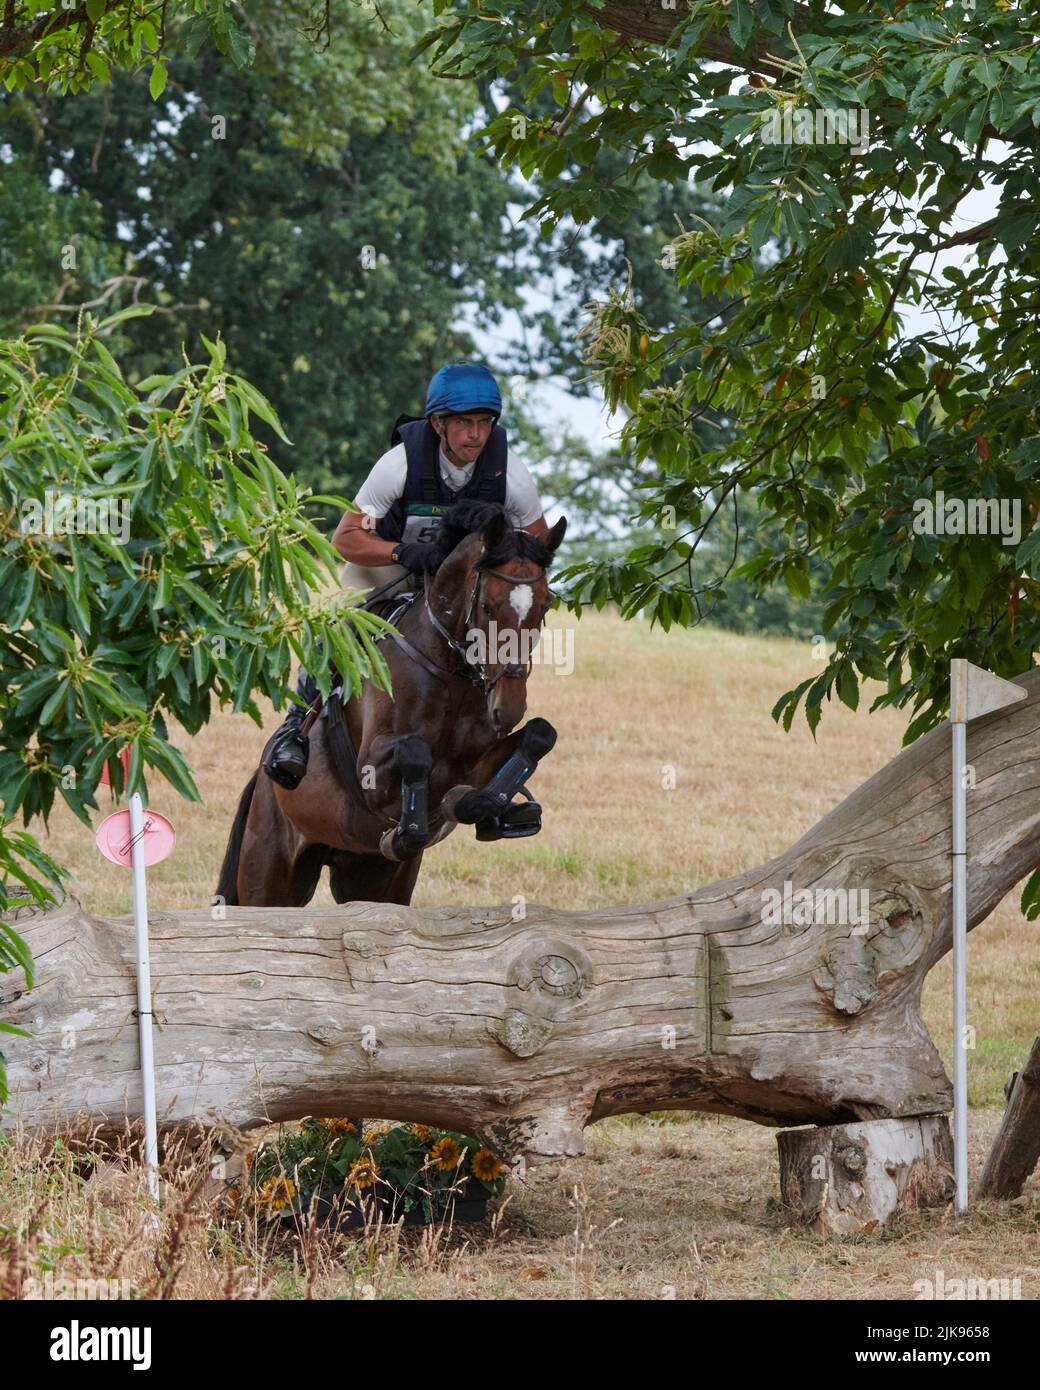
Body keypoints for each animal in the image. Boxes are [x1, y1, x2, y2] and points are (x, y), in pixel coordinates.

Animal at [214, 503, 564, 911]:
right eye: (488, 607)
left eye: (544, 607)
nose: (508, 708)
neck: (450, 671)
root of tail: (260, 785)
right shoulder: (371, 765)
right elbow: (415, 752)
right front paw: (413, 829)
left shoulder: (472, 763)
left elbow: (539, 735)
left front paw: (482, 805)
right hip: (270, 876)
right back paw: (288, 753)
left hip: (375, 879)